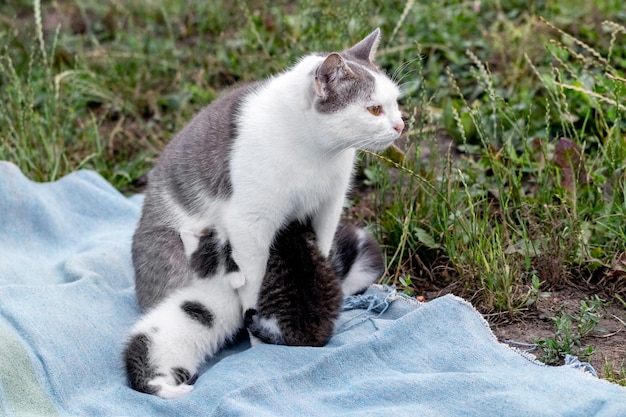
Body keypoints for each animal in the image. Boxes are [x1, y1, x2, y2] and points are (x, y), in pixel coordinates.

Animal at [132, 27, 404, 316]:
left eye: (395, 102)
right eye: (374, 109)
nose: (400, 125)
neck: (316, 154)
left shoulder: (330, 206)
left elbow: (323, 245)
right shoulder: (247, 224)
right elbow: (253, 281)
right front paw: (257, 322)